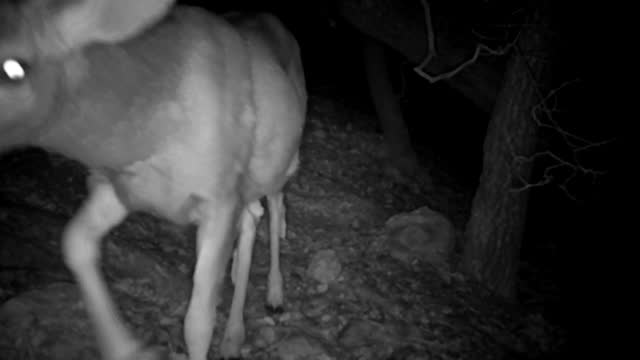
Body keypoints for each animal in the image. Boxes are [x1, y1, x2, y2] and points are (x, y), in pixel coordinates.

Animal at [0, 0, 308, 358]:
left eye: (16, 69)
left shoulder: (219, 198)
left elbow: (198, 323)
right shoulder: (121, 186)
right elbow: (75, 241)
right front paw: (125, 346)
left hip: (281, 159)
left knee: (275, 207)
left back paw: (273, 295)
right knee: (252, 218)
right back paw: (234, 328)